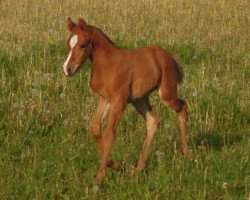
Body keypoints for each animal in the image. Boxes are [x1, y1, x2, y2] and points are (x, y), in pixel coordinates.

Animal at [63, 18, 189, 185]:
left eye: (83, 45)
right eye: (68, 44)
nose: (67, 69)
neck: (108, 64)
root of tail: (167, 54)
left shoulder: (119, 101)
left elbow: (109, 135)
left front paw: (99, 178)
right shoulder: (105, 98)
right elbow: (95, 128)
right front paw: (119, 166)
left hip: (166, 94)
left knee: (183, 106)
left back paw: (186, 152)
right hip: (139, 100)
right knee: (153, 121)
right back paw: (137, 170)